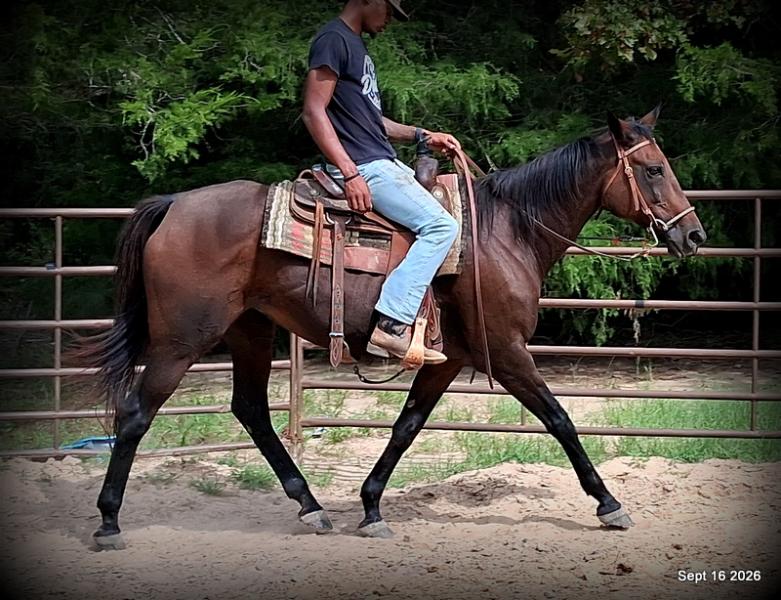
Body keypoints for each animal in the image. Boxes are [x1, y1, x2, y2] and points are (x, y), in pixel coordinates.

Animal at [76, 106, 706, 548]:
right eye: (653, 169)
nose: (693, 234)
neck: (506, 231)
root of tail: (174, 204)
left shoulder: (449, 360)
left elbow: (406, 427)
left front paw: (372, 506)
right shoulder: (506, 351)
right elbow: (560, 419)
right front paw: (609, 503)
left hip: (250, 331)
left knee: (251, 409)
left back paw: (312, 507)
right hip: (181, 339)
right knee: (136, 413)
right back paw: (108, 522)